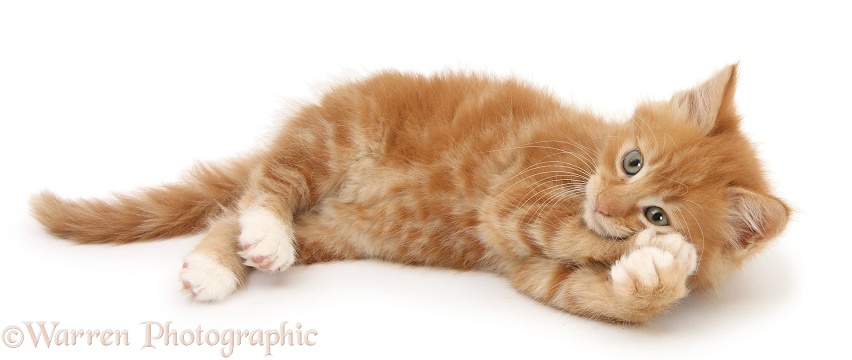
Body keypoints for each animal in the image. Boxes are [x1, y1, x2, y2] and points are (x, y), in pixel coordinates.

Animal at [30, 64, 788, 324]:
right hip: (337, 131)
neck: (587, 153)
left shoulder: (532, 273)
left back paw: (233, 258)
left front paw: (656, 271)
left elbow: (599, 293)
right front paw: (653, 253)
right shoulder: (516, 198)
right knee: (267, 184)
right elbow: (555, 224)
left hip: (335, 228)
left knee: (234, 211)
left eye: (658, 208)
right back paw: (254, 237)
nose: (609, 208)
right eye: (632, 162)